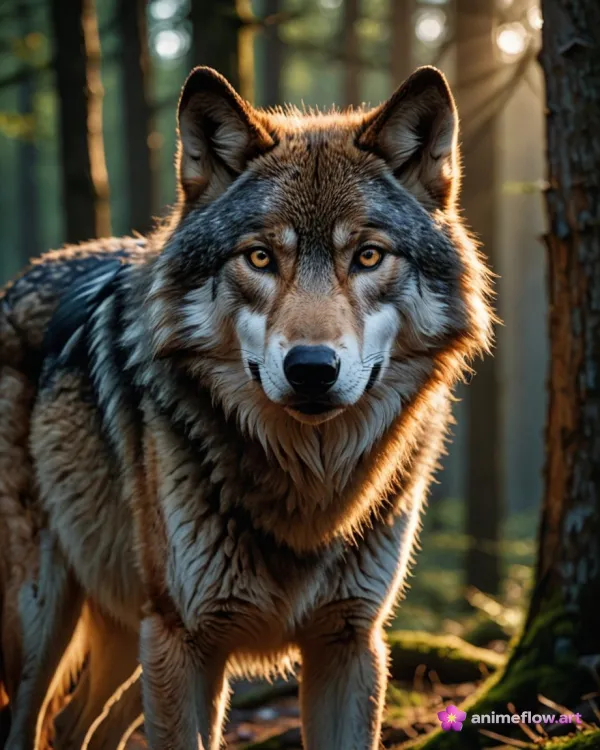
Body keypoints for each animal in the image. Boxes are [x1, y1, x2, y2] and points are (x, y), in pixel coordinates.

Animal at [0, 64, 492, 749]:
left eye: (367, 255)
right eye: (260, 257)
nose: (311, 368)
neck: (308, 489)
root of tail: (20, 279)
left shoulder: (350, 641)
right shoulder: (185, 639)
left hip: (129, 634)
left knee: (78, 728)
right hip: (46, 620)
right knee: (29, 723)